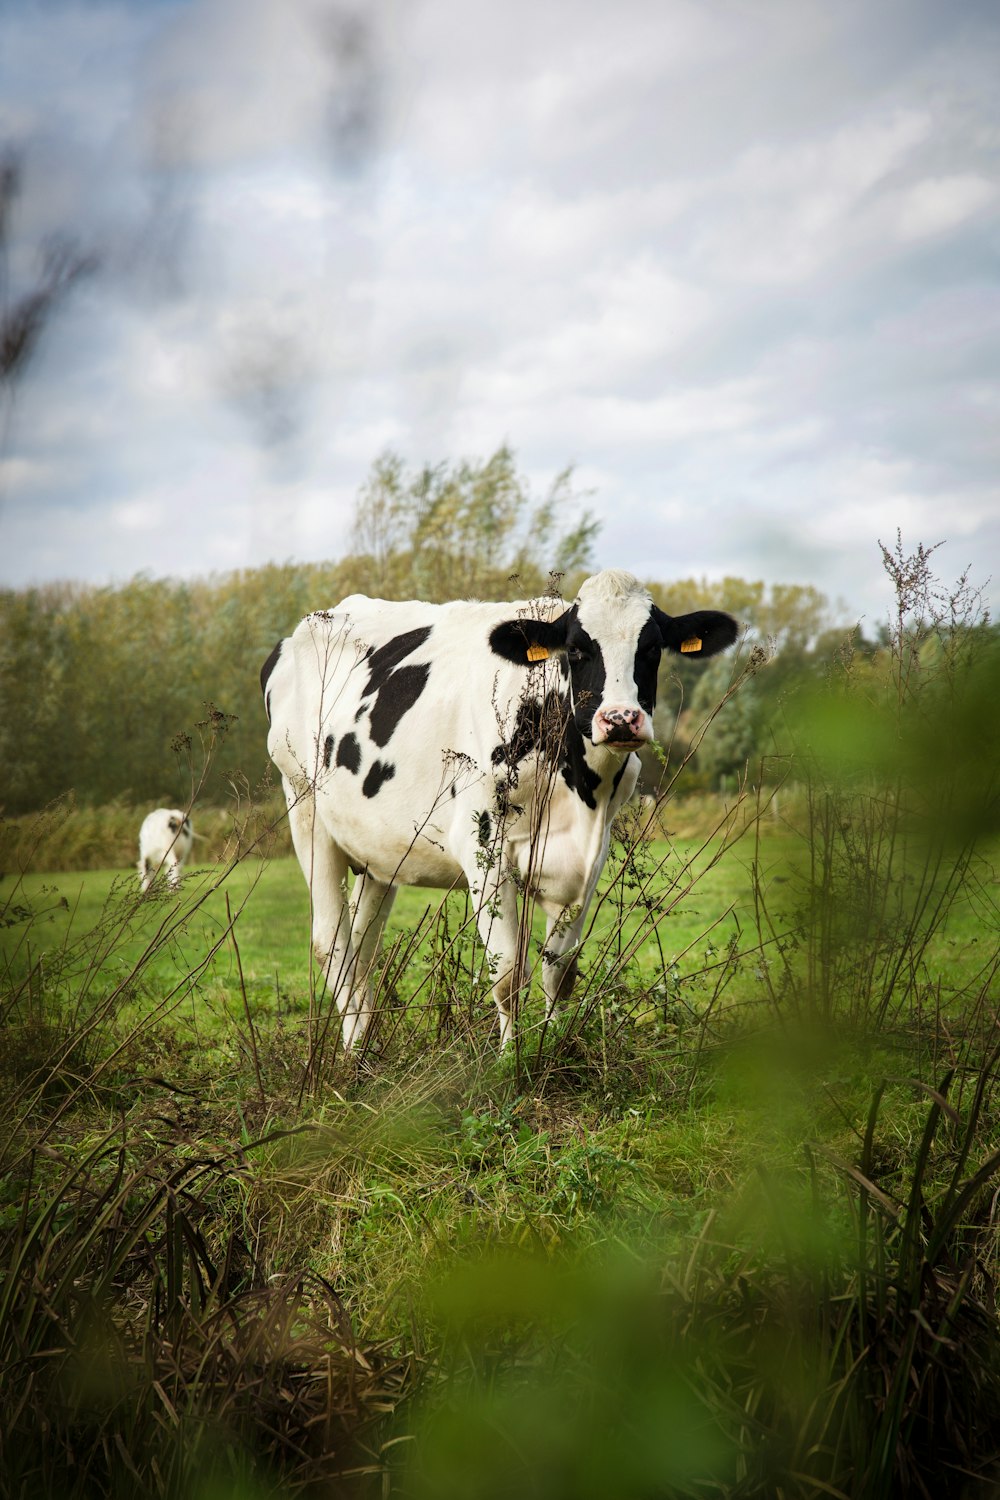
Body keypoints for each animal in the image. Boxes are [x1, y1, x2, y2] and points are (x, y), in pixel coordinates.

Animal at [262, 567, 740, 1050]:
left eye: (652, 647)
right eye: (577, 648)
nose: (620, 719)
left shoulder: (588, 856)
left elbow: (559, 973)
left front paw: (553, 1045)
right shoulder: (483, 847)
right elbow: (508, 973)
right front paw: (511, 1057)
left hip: (378, 851)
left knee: (363, 947)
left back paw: (363, 1046)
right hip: (305, 810)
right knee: (331, 945)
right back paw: (351, 1050)